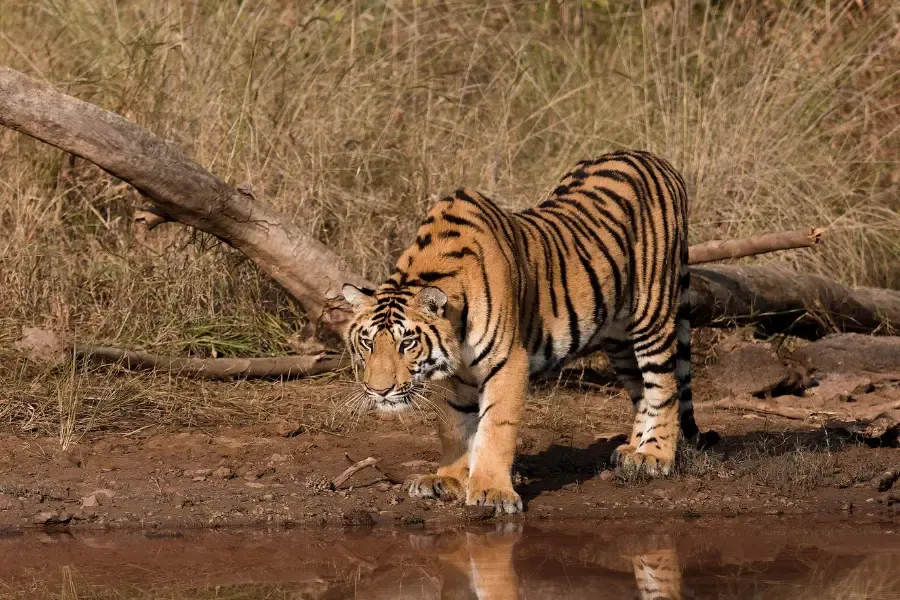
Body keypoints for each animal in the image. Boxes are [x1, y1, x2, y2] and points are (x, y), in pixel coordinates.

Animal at [342, 149, 707, 514]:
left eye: (407, 342)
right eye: (367, 342)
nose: (379, 391)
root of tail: (654, 158)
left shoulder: (507, 361)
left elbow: (495, 428)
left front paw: (492, 492)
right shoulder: (455, 375)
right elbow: (455, 427)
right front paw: (447, 480)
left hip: (652, 312)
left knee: (663, 386)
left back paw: (654, 456)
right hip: (617, 337)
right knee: (641, 389)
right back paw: (633, 450)